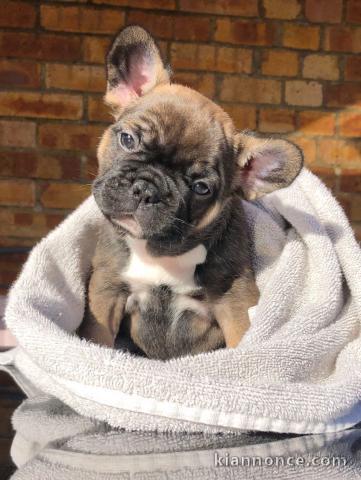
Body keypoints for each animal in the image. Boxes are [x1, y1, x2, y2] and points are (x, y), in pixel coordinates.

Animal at [78, 24, 300, 358]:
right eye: (128, 140)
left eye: (201, 187)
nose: (145, 189)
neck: (160, 252)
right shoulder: (106, 290)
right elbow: (98, 336)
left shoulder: (235, 301)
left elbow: (241, 342)